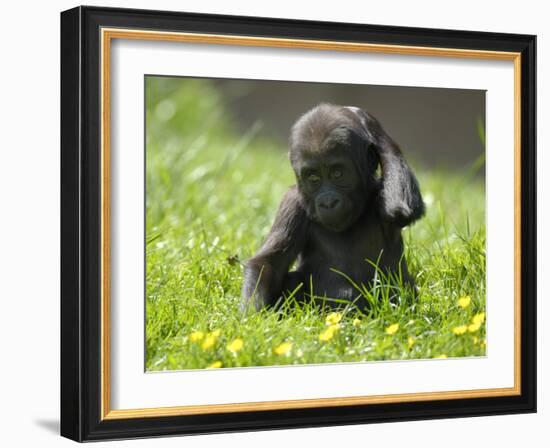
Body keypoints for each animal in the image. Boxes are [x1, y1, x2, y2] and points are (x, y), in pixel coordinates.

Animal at [242, 103, 426, 310]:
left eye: (337, 174)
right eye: (313, 177)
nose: (328, 202)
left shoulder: (382, 194)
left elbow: (401, 209)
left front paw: (365, 120)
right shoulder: (292, 203)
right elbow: (267, 264)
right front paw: (253, 315)